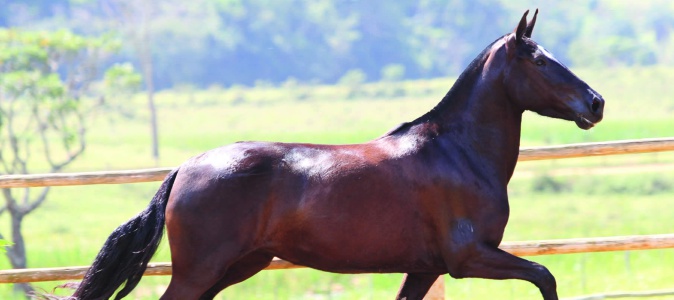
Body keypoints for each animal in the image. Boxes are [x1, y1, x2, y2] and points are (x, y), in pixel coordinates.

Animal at [69, 9, 604, 300]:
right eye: (540, 61)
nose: (596, 102)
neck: (458, 154)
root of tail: (185, 168)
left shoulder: (425, 268)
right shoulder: (470, 256)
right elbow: (545, 276)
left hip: (234, 267)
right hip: (201, 270)